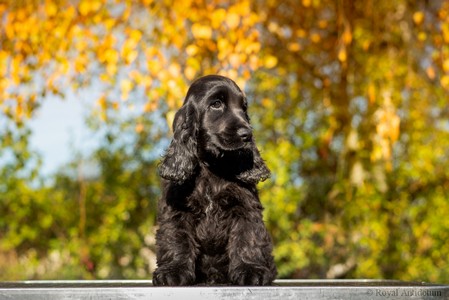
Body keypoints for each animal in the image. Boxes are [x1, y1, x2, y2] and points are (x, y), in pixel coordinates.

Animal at [152, 75, 274, 286]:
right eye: (216, 104)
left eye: (244, 108)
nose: (247, 134)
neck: (212, 167)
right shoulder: (176, 210)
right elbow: (176, 239)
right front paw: (173, 271)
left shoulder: (245, 207)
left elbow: (247, 237)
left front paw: (250, 270)